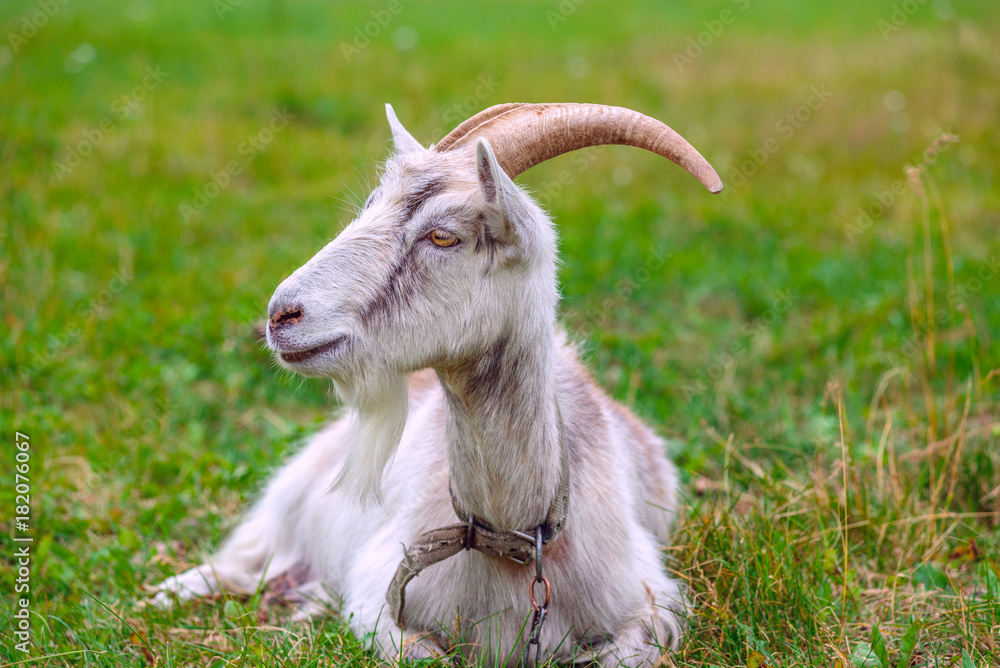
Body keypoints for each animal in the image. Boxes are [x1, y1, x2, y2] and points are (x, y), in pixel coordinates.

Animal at [154, 102, 720, 664]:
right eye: (370, 207)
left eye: (442, 235)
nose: (281, 315)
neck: (513, 539)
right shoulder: (380, 593)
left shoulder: (650, 602)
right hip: (289, 498)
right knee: (243, 557)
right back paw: (167, 593)